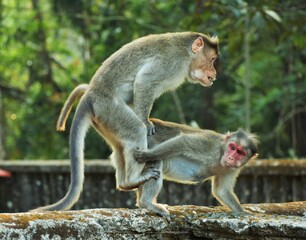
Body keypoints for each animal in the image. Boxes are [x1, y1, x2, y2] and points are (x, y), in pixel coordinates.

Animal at [32, 32, 219, 212]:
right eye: (212, 59)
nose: (215, 74)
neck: (187, 53)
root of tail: (90, 95)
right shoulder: (173, 62)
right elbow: (144, 81)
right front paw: (146, 121)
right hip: (109, 109)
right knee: (136, 130)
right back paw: (133, 180)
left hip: (105, 120)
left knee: (119, 147)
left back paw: (124, 183)